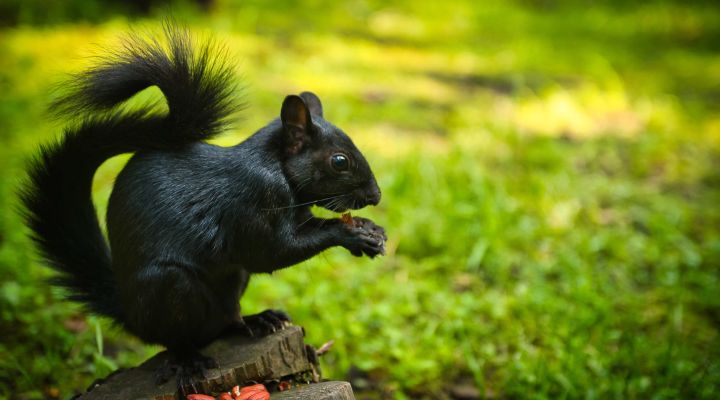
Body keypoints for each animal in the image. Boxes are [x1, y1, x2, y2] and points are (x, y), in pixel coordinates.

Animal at [19, 25, 386, 390]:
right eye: (339, 161)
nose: (376, 195)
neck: (277, 167)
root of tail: (129, 313)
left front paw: (370, 231)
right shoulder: (253, 202)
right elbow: (272, 252)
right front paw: (350, 234)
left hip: (232, 282)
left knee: (226, 321)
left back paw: (256, 320)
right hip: (170, 287)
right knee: (175, 339)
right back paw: (188, 360)